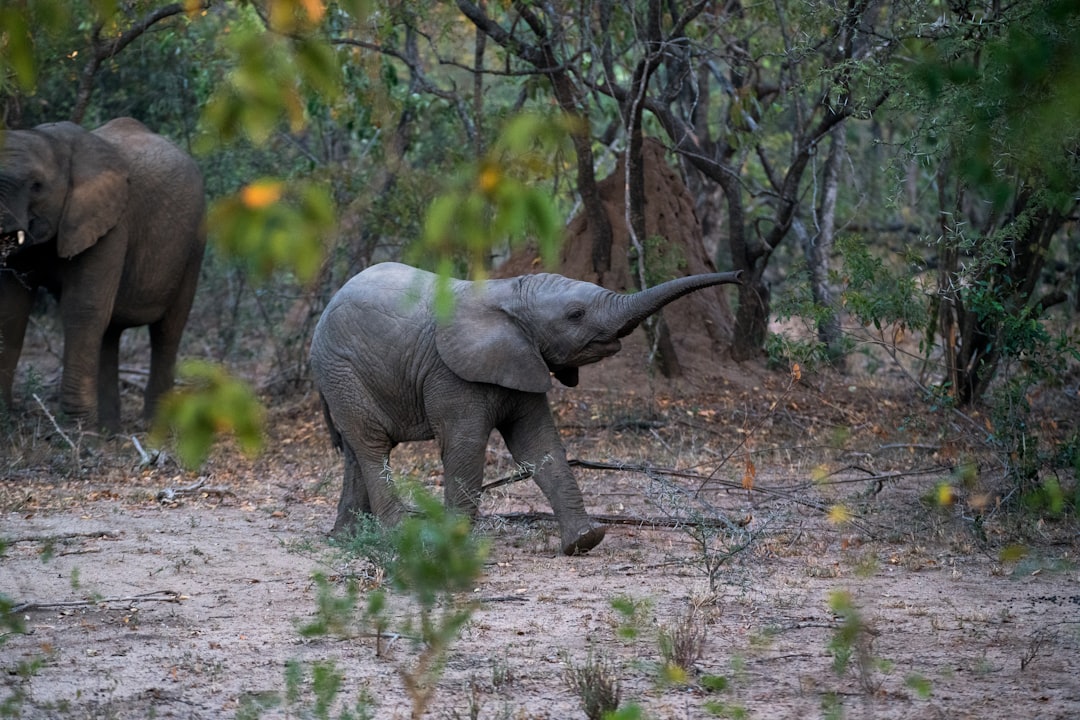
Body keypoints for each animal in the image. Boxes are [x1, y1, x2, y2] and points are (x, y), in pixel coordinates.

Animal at [0, 117, 206, 431]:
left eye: (36, 186)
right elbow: (12, 309)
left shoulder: (111, 225)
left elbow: (82, 308)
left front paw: (76, 431)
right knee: (109, 332)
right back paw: (110, 430)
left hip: (194, 243)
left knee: (167, 331)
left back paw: (152, 427)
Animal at [309, 261, 742, 555]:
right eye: (575, 314)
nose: (739, 275)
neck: (510, 294)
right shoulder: (450, 373)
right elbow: (465, 447)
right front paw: (452, 547)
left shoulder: (523, 360)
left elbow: (538, 445)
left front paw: (585, 540)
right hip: (341, 370)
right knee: (372, 445)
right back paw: (401, 537)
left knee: (355, 450)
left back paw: (347, 538)